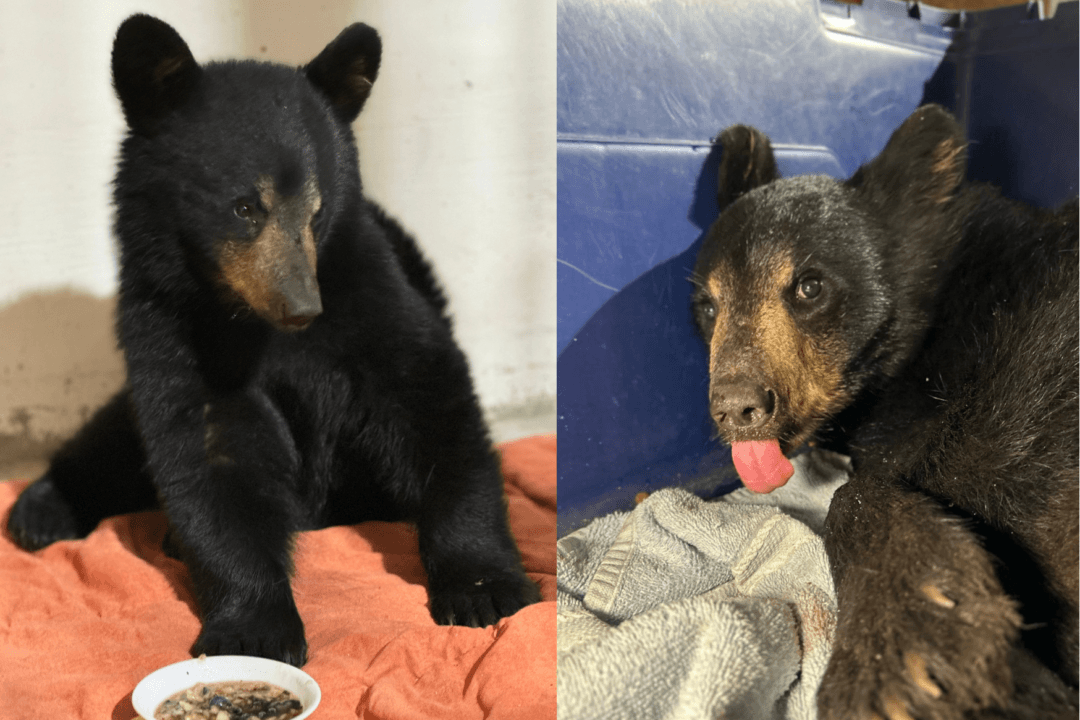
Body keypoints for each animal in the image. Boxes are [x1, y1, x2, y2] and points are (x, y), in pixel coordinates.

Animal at [5, 14, 539, 668]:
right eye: (243, 208)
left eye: (317, 211)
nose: (302, 306)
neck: (249, 323)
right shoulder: (167, 329)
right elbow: (209, 452)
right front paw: (255, 629)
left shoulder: (370, 299)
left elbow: (431, 401)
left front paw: (484, 587)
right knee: (114, 439)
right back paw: (40, 510)